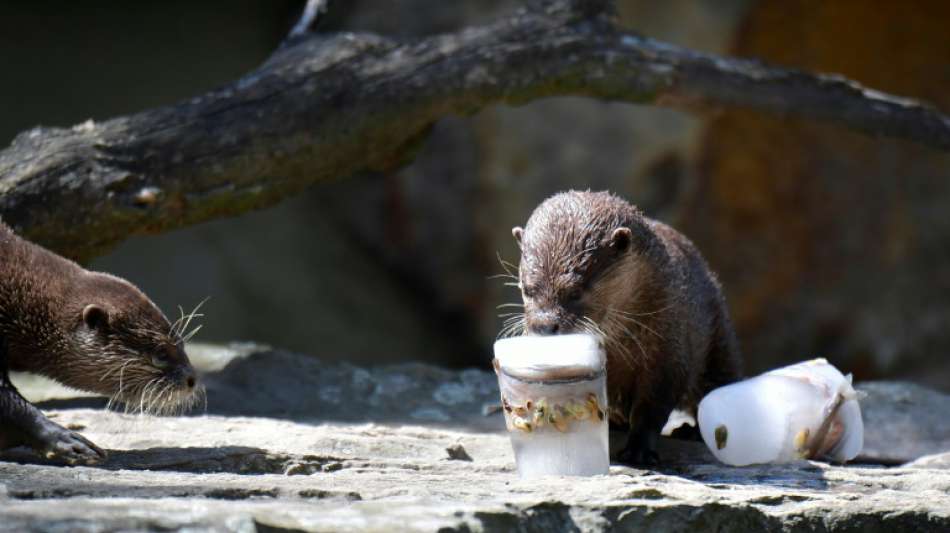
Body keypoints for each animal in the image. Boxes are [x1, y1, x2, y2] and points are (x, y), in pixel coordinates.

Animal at [512, 190, 744, 462]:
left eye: (576, 291)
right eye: (527, 289)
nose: (544, 325)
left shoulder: (668, 348)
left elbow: (653, 406)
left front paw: (639, 450)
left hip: (719, 338)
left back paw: (692, 431)